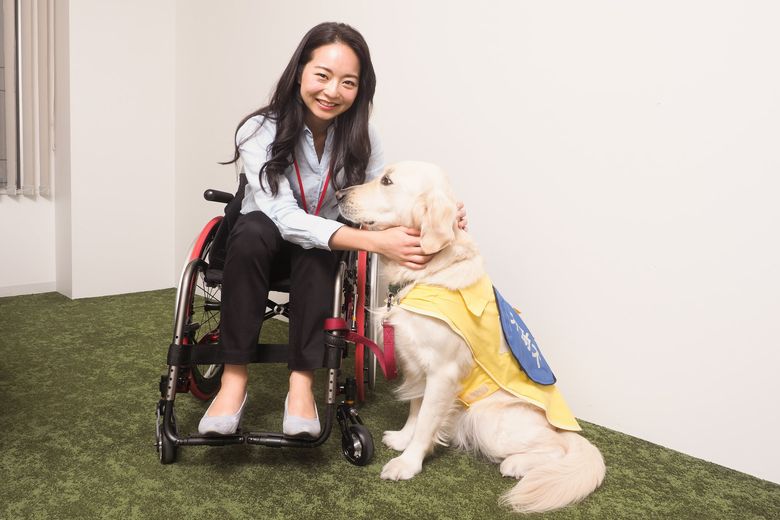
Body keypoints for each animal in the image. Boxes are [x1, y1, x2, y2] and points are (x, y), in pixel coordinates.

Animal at [336, 161, 604, 512]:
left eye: (387, 181)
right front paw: (402, 438)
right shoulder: (417, 365)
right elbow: (416, 410)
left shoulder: (443, 372)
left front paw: (408, 463)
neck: (431, 270)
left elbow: (426, 420)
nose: (339, 194)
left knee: (557, 447)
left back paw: (517, 463)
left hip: (488, 420)